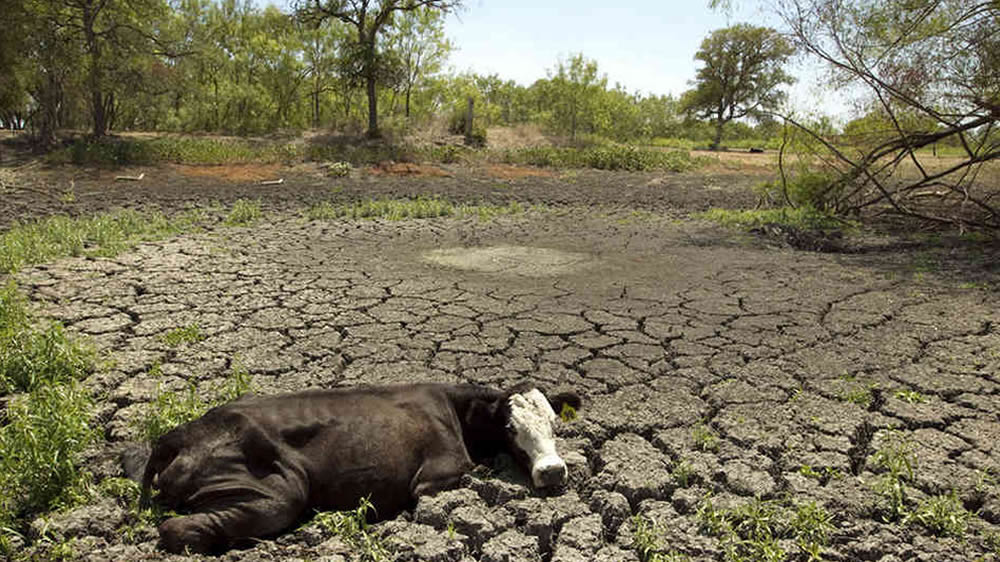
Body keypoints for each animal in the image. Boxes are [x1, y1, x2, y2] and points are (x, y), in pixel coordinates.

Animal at [137, 380, 584, 552]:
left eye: (555, 422)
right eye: (510, 427)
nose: (552, 471)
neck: (455, 409)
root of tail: (176, 436)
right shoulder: (433, 477)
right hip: (276, 492)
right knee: (177, 528)